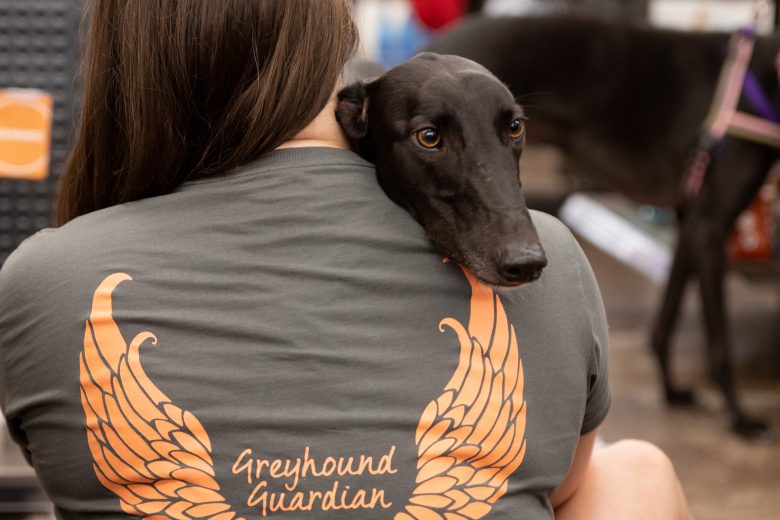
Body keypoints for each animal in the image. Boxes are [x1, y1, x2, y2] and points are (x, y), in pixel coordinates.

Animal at [426, 15, 780, 438]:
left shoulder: (689, 221)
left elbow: (666, 317)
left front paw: (671, 390)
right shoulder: (710, 228)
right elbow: (720, 341)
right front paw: (740, 417)